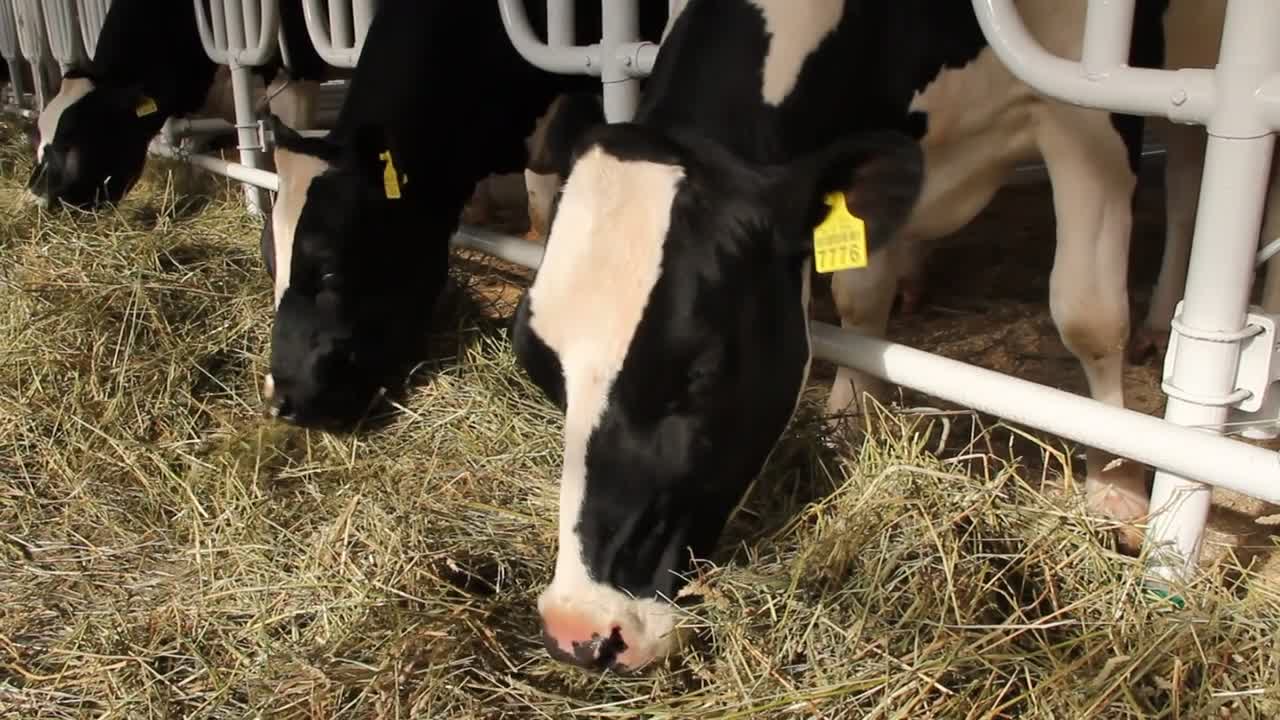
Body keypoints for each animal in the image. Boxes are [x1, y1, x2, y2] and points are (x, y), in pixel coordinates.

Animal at [506, 0, 1259, 671]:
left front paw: (1116, 483)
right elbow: (857, 298)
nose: (577, 630)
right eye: (538, 367)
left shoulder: (1088, 107)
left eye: (698, 374)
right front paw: (848, 416)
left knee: (1192, 180)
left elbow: (1088, 313)